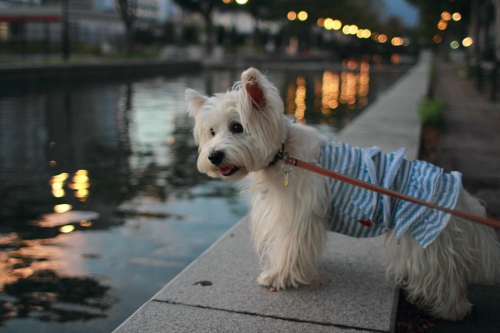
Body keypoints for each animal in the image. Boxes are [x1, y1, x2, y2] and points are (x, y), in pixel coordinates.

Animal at [185, 67, 500, 320]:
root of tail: (462, 197)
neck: (283, 153)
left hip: (424, 237)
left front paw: (278, 276)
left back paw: (449, 311)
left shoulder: (298, 215)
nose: (213, 156)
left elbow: (289, 248)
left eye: (237, 127)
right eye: (211, 132)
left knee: (444, 278)